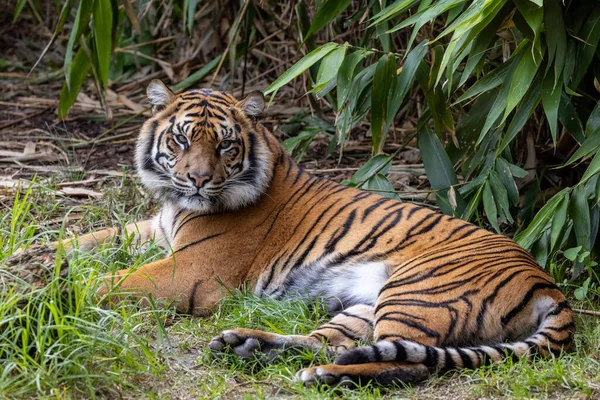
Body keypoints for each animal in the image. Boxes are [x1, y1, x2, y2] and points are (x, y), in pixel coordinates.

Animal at [51, 79, 576, 386]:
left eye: (224, 146)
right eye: (180, 140)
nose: (197, 180)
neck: (177, 202)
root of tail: (547, 283)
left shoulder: (191, 270)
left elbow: (111, 282)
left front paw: (59, 293)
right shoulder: (154, 230)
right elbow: (84, 240)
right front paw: (45, 258)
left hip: (417, 291)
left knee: (412, 362)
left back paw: (323, 375)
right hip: (369, 305)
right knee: (331, 340)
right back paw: (249, 346)